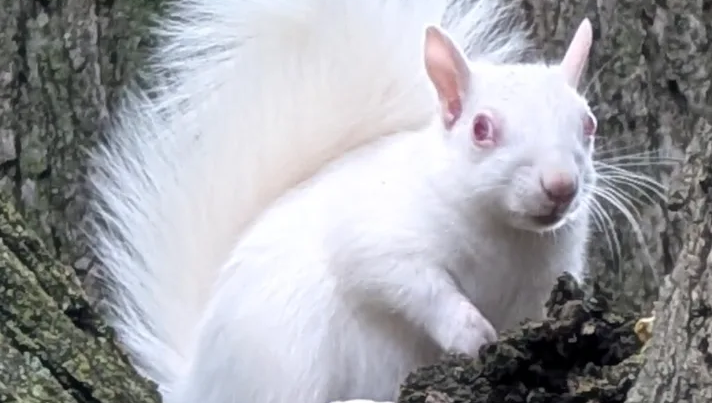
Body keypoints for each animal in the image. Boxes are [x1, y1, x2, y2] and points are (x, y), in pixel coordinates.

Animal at [86, 0, 598, 402]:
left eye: (589, 122)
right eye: (481, 128)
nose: (560, 185)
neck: (508, 236)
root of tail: (197, 385)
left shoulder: (540, 287)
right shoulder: (379, 232)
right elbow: (406, 281)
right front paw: (468, 330)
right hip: (288, 352)